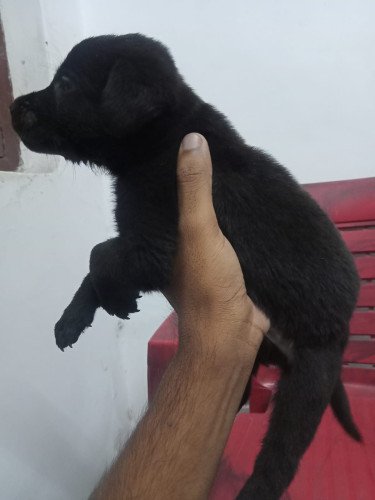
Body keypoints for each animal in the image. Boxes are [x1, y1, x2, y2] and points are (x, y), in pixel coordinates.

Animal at [11, 33, 362, 498]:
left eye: (65, 84)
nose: (13, 107)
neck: (161, 136)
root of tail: (341, 330)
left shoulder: (154, 243)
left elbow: (99, 254)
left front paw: (113, 297)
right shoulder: (139, 240)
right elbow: (97, 260)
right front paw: (73, 318)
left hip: (306, 383)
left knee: (281, 458)